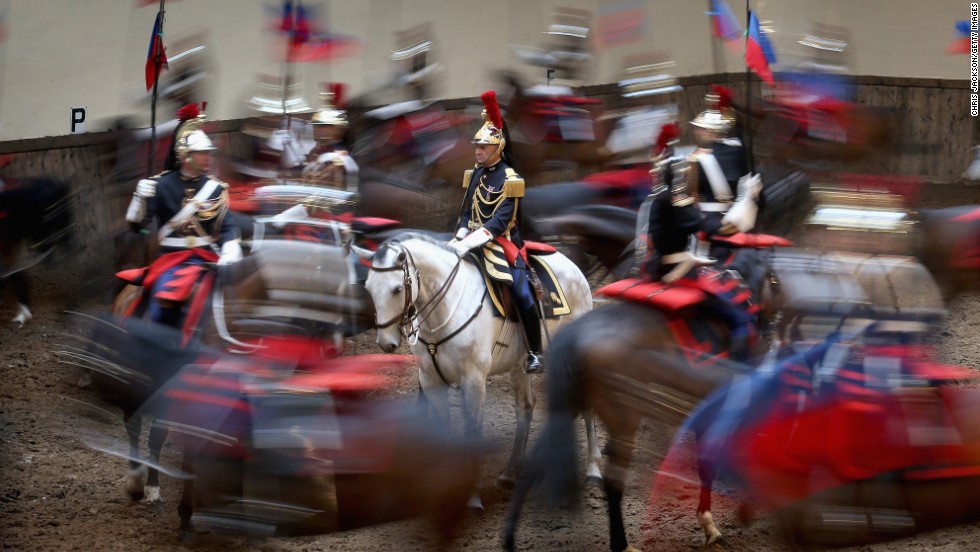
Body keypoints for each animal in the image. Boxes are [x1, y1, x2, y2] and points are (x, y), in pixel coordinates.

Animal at [352, 232, 596, 508]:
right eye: (369, 287)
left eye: (396, 289)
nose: (386, 342)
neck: (445, 311)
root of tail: (573, 266)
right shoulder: (430, 380)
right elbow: (443, 427)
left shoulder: (474, 381)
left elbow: (473, 431)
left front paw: (473, 496)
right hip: (519, 366)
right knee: (526, 406)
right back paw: (511, 474)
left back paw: (593, 471)